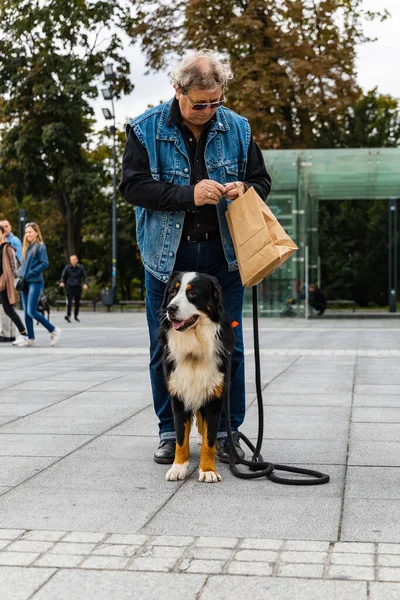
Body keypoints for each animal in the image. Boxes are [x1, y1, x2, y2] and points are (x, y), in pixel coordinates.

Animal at [159, 272, 236, 482]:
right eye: (172, 292)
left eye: (192, 293)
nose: (170, 308)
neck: (193, 348)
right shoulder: (178, 395)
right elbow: (180, 438)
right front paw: (178, 467)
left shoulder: (214, 396)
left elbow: (210, 439)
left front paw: (208, 470)